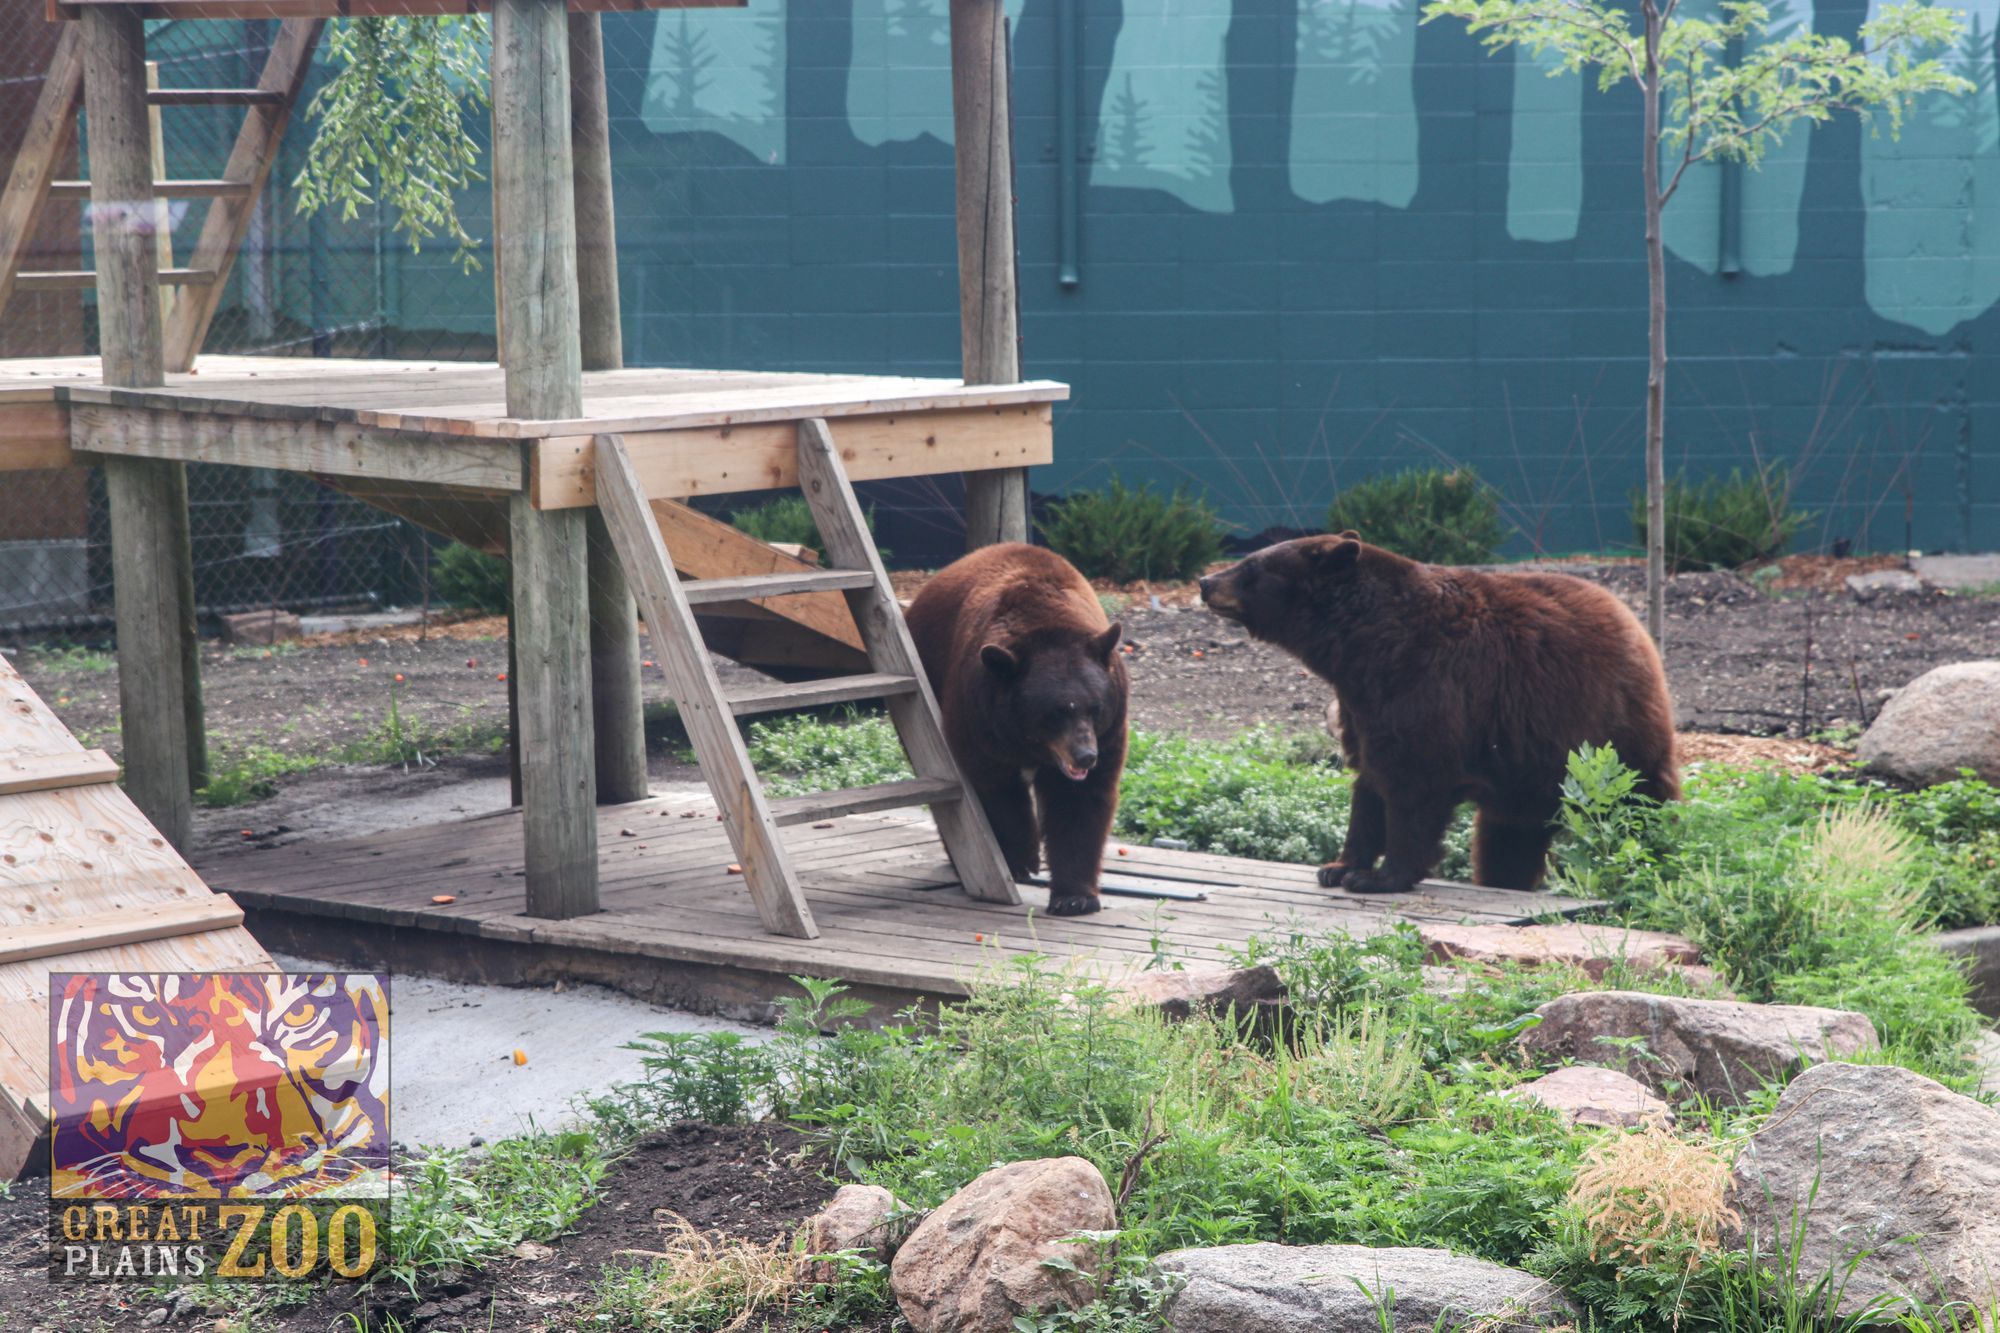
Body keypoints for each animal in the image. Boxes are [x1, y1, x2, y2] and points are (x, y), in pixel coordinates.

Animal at [906, 543, 1128, 916]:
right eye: (1055, 713)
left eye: (1095, 708)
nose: (1085, 756)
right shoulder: (979, 717)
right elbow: (993, 787)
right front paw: (1021, 858)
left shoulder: (1111, 731)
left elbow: (1080, 800)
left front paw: (1075, 897)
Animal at [1198, 533, 1678, 894]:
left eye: (1251, 568)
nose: (1204, 580)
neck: (1365, 645)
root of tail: (1636, 628)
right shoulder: (1363, 703)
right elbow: (1368, 782)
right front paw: (1337, 866)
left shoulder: (1428, 684)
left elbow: (1413, 782)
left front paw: (1379, 877)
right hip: (1526, 775)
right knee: (1508, 839)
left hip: (1609, 735)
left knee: (1642, 807)